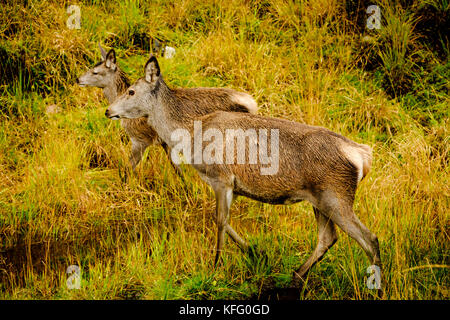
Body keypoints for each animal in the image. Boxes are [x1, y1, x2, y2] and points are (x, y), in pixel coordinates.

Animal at [77, 43, 256, 174]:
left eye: (95, 72)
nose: (78, 79)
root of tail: (253, 104)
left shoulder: (141, 139)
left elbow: (127, 169)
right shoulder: (164, 143)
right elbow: (177, 170)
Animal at [104, 55, 380, 290]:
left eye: (131, 91)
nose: (108, 110)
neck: (191, 132)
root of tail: (363, 156)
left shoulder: (221, 178)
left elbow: (219, 221)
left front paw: (215, 267)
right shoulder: (235, 187)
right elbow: (227, 222)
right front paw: (255, 251)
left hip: (337, 196)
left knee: (370, 239)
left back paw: (376, 287)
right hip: (320, 200)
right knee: (328, 238)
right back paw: (295, 276)